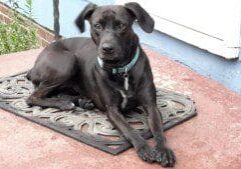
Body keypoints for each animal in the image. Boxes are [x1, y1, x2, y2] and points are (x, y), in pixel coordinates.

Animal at [26, 2, 175, 168]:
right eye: (97, 26)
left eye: (121, 25)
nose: (107, 48)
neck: (121, 70)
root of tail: (34, 66)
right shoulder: (112, 110)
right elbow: (129, 129)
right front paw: (143, 147)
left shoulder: (151, 105)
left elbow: (158, 130)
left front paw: (163, 150)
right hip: (68, 61)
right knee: (33, 97)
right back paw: (64, 103)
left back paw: (81, 102)